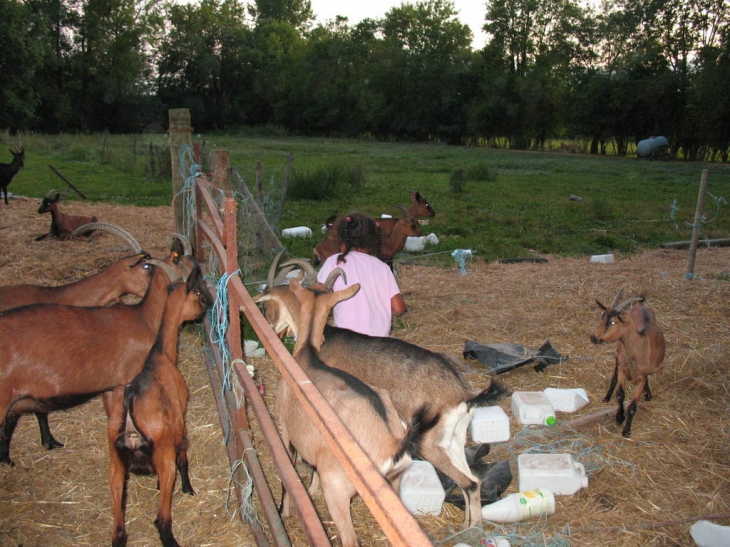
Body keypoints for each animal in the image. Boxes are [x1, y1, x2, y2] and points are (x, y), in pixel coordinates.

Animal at [107, 266, 213, 547]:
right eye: (198, 292)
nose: (207, 307)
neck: (160, 356)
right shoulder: (180, 420)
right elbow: (184, 457)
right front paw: (188, 488)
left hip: (115, 465)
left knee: (119, 531)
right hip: (163, 459)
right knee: (162, 521)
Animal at [253, 256, 504, 528]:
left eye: (267, 305)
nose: (270, 327)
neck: (318, 341)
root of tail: (462, 394)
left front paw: (306, 493)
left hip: (430, 445)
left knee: (468, 483)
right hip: (453, 440)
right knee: (473, 480)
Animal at [588, 292, 664, 436]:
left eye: (613, 322)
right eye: (602, 317)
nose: (593, 337)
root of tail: (640, 306)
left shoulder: (641, 377)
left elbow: (633, 406)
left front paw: (626, 431)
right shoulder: (623, 370)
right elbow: (620, 394)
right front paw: (619, 417)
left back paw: (648, 394)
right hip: (618, 353)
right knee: (614, 374)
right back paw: (607, 396)